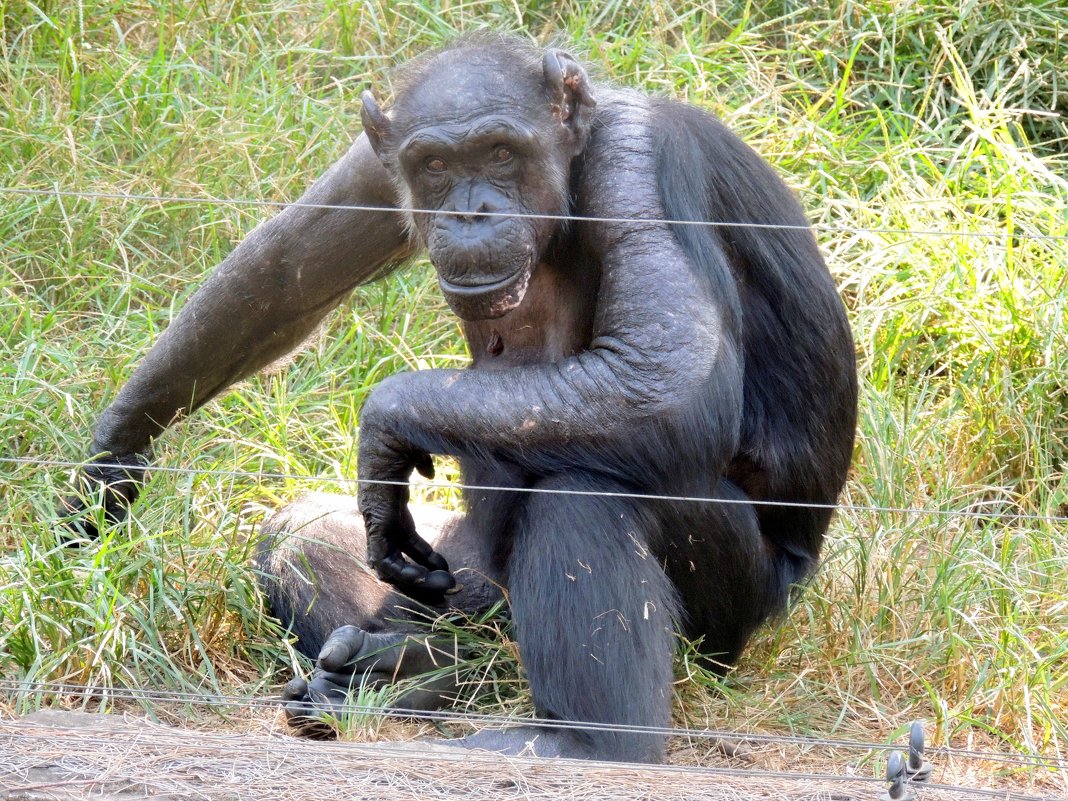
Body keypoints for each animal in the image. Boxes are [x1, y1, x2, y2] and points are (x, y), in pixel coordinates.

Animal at [64, 36, 850, 764]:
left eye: (501, 152)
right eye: (437, 166)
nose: (473, 211)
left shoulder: (638, 160)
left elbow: (663, 371)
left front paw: (385, 421)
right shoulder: (375, 162)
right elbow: (284, 272)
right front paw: (105, 474)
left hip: (735, 615)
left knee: (583, 491)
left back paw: (579, 740)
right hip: (465, 582)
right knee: (304, 536)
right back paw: (402, 668)